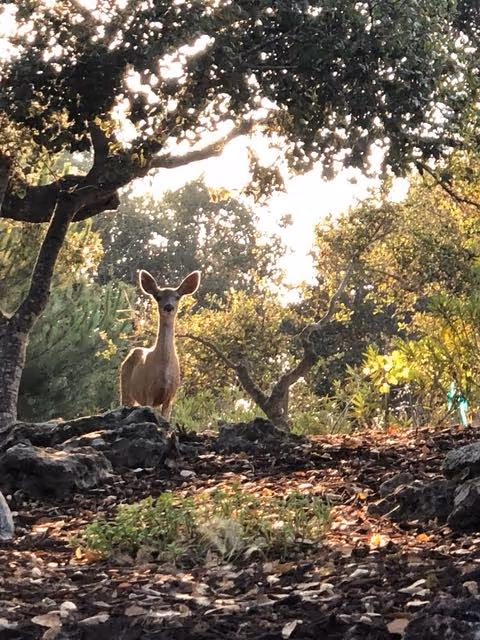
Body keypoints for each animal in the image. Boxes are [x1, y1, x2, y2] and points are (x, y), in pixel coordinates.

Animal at [120, 269, 201, 420]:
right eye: (158, 297)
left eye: (177, 297)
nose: (168, 307)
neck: (164, 370)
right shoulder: (148, 392)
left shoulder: (170, 395)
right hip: (125, 387)